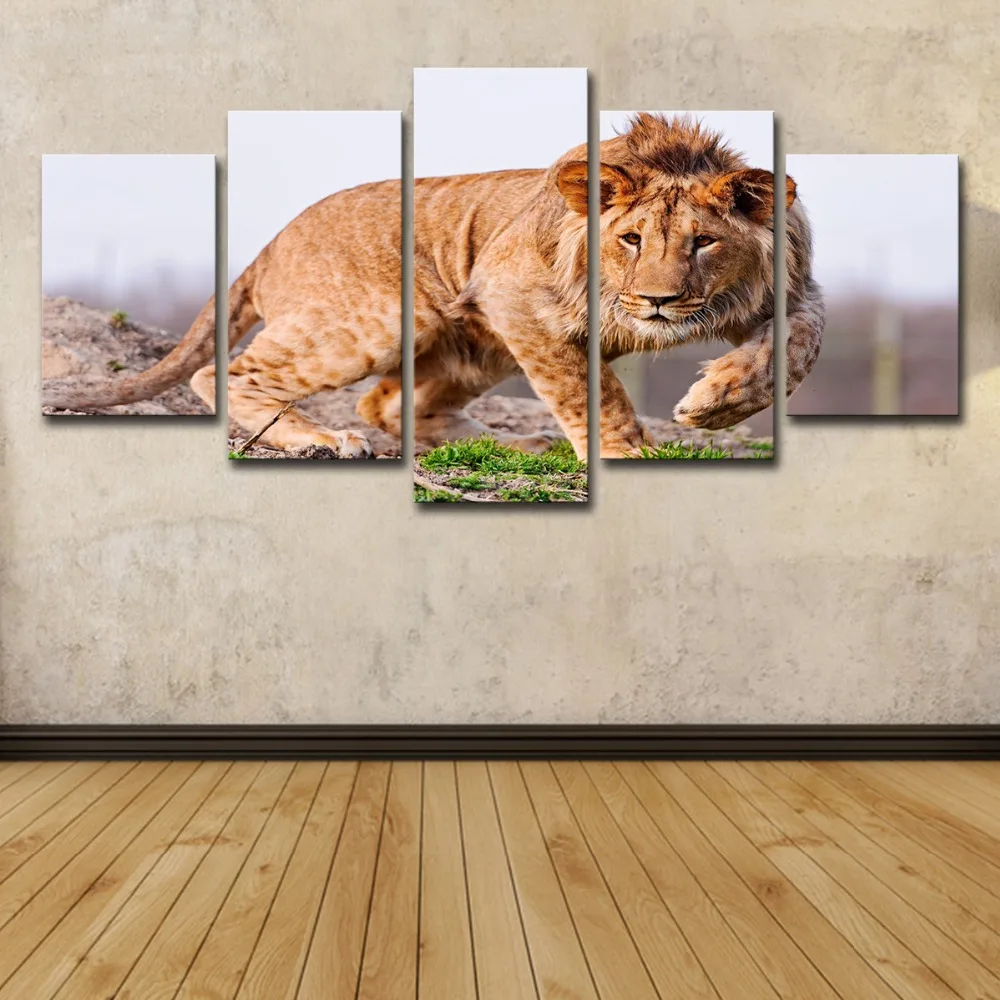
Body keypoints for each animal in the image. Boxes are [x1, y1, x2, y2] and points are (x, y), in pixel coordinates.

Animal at [42, 113, 823, 459]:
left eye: (704, 242)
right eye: (630, 240)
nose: (659, 301)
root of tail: (268, 245)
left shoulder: (793, 287)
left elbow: (800, 347)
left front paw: (717, 402)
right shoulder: (513, 293)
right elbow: (593, 395)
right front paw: (625, 454)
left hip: (478, 348)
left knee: (385, 403)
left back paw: (503, 442)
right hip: (390, 320)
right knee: (226, 374)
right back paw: (319, 439)